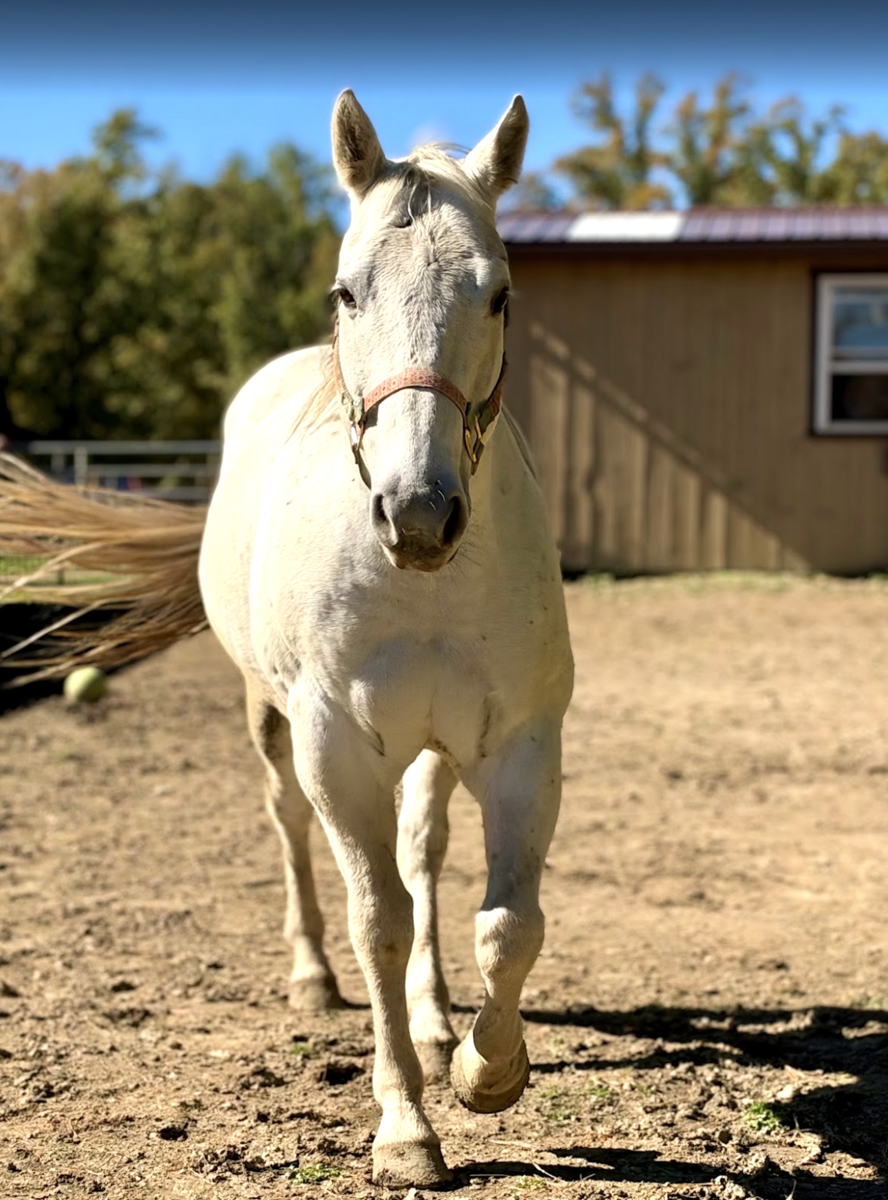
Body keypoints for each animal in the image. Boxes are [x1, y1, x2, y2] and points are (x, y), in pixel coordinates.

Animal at [0, 91, 574, 1187]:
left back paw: (437, 1021)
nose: (418, 512)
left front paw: (486, 1069)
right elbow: (377, 921)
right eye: (348, 292)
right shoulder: (335, 747)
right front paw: (405, 1128)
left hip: (429, 750)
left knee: (425, 853)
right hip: (273, 724)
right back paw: (311, 974)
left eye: (498, 296)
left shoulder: (522, 745)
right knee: (293, 832)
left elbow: (507, 922)